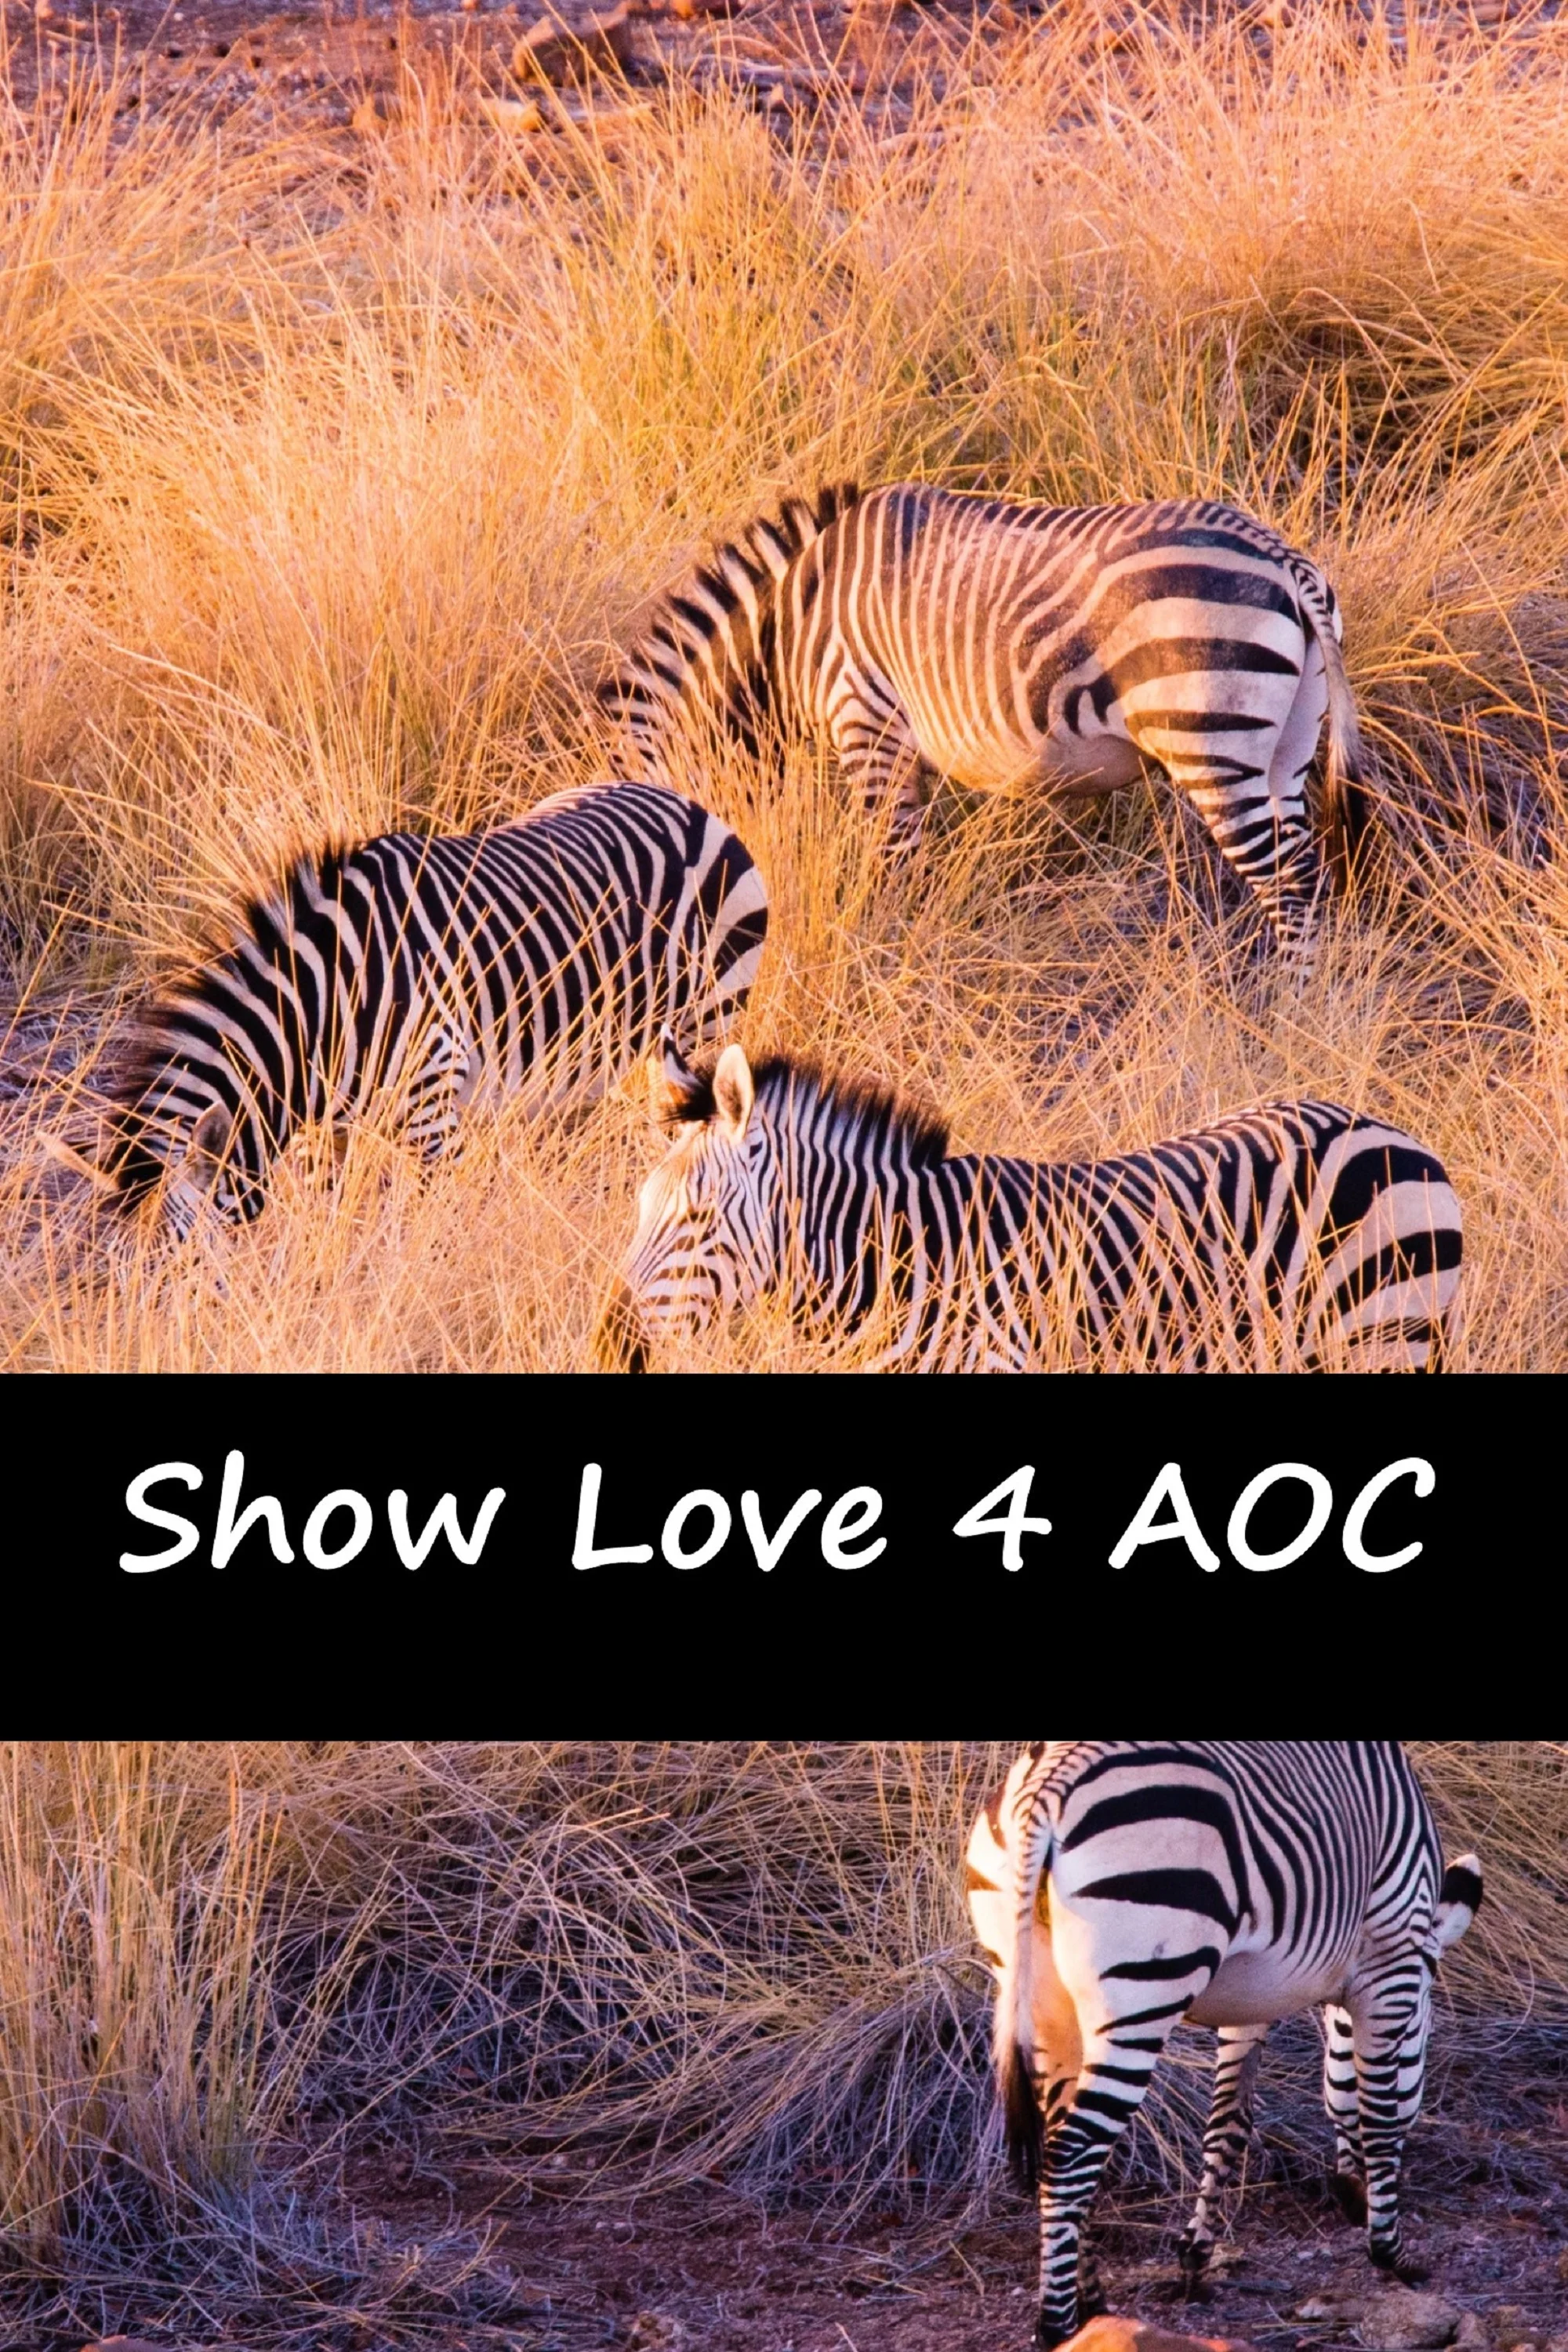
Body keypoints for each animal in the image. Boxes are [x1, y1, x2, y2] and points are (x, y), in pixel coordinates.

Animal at [99, 782, 767, 1236]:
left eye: (182, 1261)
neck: (325, 1016)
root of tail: (693, 806)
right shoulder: (336, 1130)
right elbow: (337, 1210)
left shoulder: (432, 1108)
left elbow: (434, 1218)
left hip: (709, 1015)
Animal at [591, 1037, 1462, 1371]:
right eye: (635, 1209)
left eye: (697, 1222)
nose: (606, 1344)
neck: (899, 1266)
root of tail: (1378, 1124)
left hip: (1384, 1334)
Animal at [601, 482, 1365, 972]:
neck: (789, 629)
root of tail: (1286, 561)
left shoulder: (865, 719)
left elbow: (895, 862)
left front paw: (890, 963)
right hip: (1288, 746)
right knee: (1309, 875)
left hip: (1213, 739)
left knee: (1289, 886)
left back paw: (1285, 1021)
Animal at [964, 1743, 1483, 2346]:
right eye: (1420, 2041)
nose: (1349, 2201)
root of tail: (1050, 1782)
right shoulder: (1391, 1962)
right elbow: (1377, 2111)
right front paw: (1391, 2255)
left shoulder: (1250, 1997)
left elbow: (1228, 2124)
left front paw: (1196, 2256)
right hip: (1142, 1986)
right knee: (1071, 2152)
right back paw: (1056, 2325)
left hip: (1040, 1992)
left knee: (1061, 2140)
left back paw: (1091, 2301)